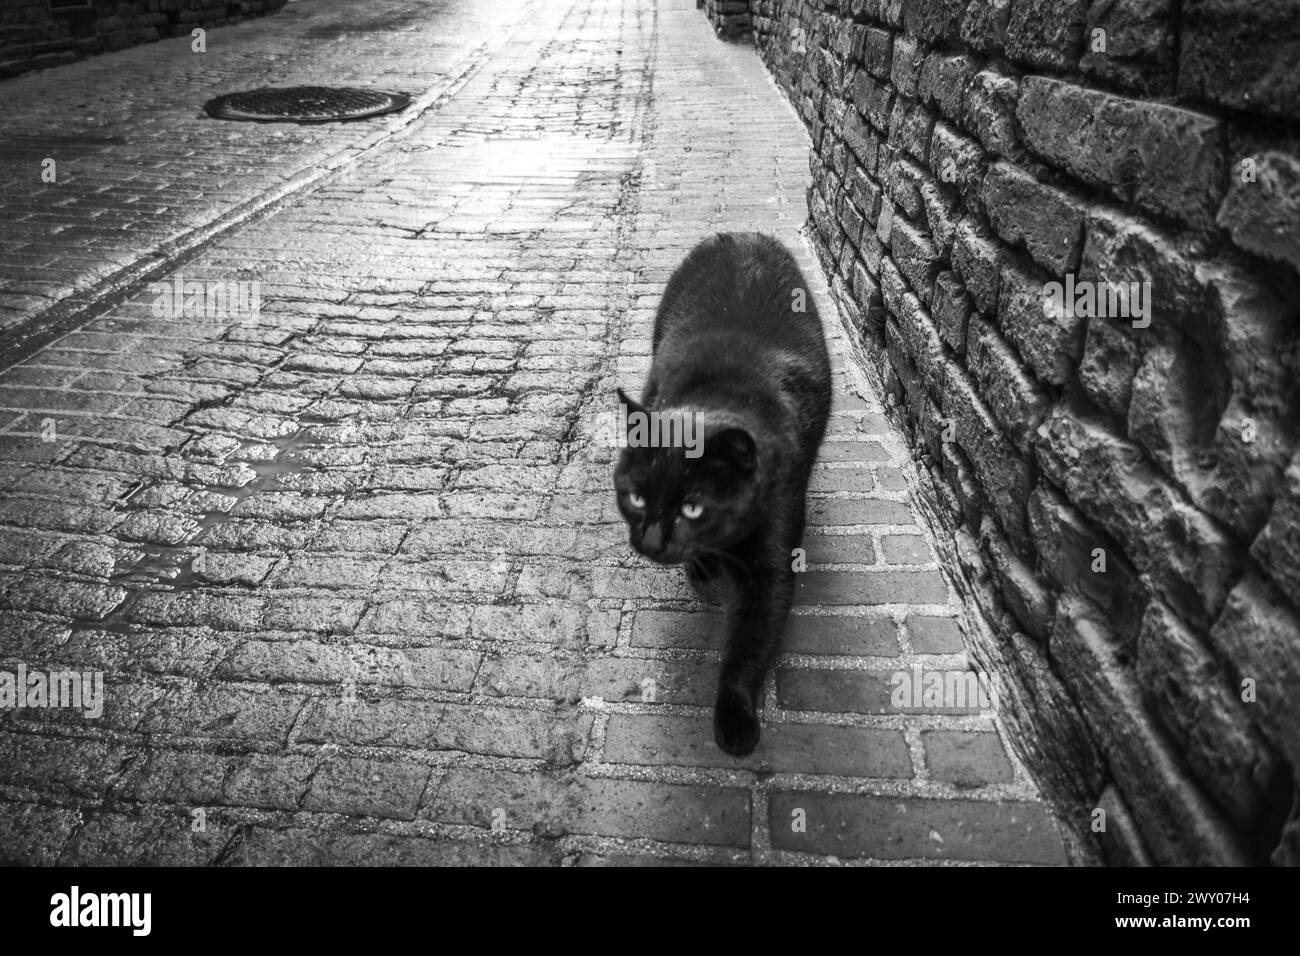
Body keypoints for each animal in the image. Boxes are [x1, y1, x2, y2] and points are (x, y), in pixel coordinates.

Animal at [611, 231, 832, 754]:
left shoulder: (774, 554)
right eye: (636, 499)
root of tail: (741, 234)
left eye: (694, 507)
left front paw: (734, 717)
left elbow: (752, 640)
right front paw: (702, 566)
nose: (652, 541)